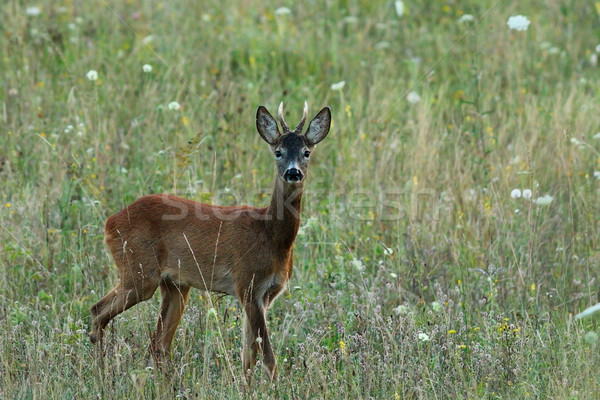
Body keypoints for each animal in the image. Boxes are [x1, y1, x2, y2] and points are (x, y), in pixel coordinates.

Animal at [89, 101, 332, 382]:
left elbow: (248, 356)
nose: (293, 172)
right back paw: (103, 372)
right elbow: (268, 358)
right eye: (278, 152)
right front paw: (275, 387)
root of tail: (110, 222)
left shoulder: (265, 295)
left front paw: (246, 386)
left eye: (306, 152)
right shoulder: (247, 284)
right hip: (138, 272)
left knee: (158, 342)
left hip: (175, 284)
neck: (270, 236)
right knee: (98, 311)